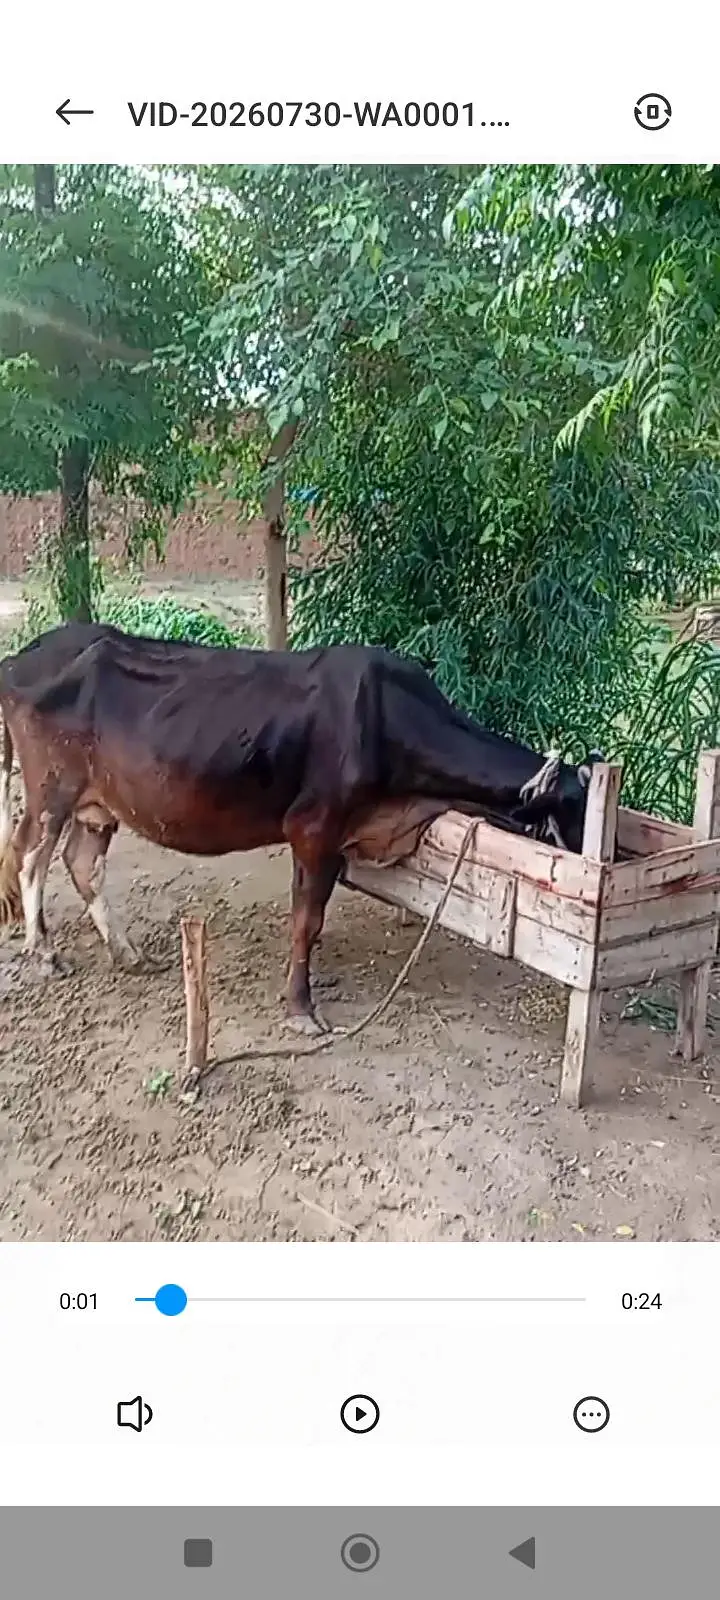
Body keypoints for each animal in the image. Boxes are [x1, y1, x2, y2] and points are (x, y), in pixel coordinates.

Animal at [0, 622, 605, 1032]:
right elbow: (305, 922)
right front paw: (301, 1007)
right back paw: (44, 954)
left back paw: (129, 954)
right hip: (51, 789)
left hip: (98, 804)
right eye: (576, 814)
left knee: (82, 862)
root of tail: (22, 657)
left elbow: (308, 918)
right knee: (31, 854)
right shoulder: (315, 829)